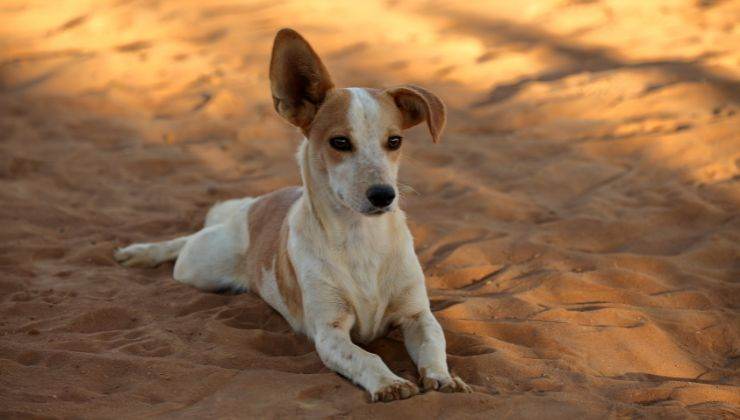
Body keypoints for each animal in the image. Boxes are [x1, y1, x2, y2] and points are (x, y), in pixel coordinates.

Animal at [115, 27, 474, 402]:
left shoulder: (417, 315)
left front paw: (443, 377)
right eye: (340, 142)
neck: (360, 238)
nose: (384, 195)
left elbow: (434, 343)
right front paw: (389, 382)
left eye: (395, 141)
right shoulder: (330, 332)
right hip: (198, 268)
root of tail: (259, 202)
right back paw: (143, 252)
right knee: (185, 243)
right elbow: (366, 357)